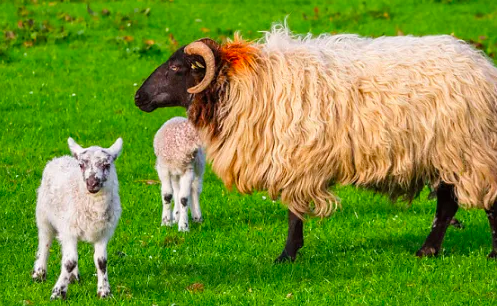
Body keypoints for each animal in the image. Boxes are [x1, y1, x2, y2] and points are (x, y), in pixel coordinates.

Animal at [32, 137, 123, 300]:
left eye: (107, 165)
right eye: (81, 165)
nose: (92, 183)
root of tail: (60, 158)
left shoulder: (103, 233)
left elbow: (101, 262)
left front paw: (104, 291)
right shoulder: (69, 231)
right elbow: (69, 262)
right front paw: (58, 292)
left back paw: (73, 277)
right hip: (43, 215)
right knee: (45, 242)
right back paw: (39, 273)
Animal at [134, 23, 496, 262]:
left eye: (176, 67)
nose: (139, 97)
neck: (242, 85)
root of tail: (483, 67)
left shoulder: (295, 160)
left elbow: (294, 212)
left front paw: (287, 255)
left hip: (471, 150)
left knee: (485, 203)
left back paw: (489, 253)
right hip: (448, 154)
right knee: (447, 205)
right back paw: (427, 250)